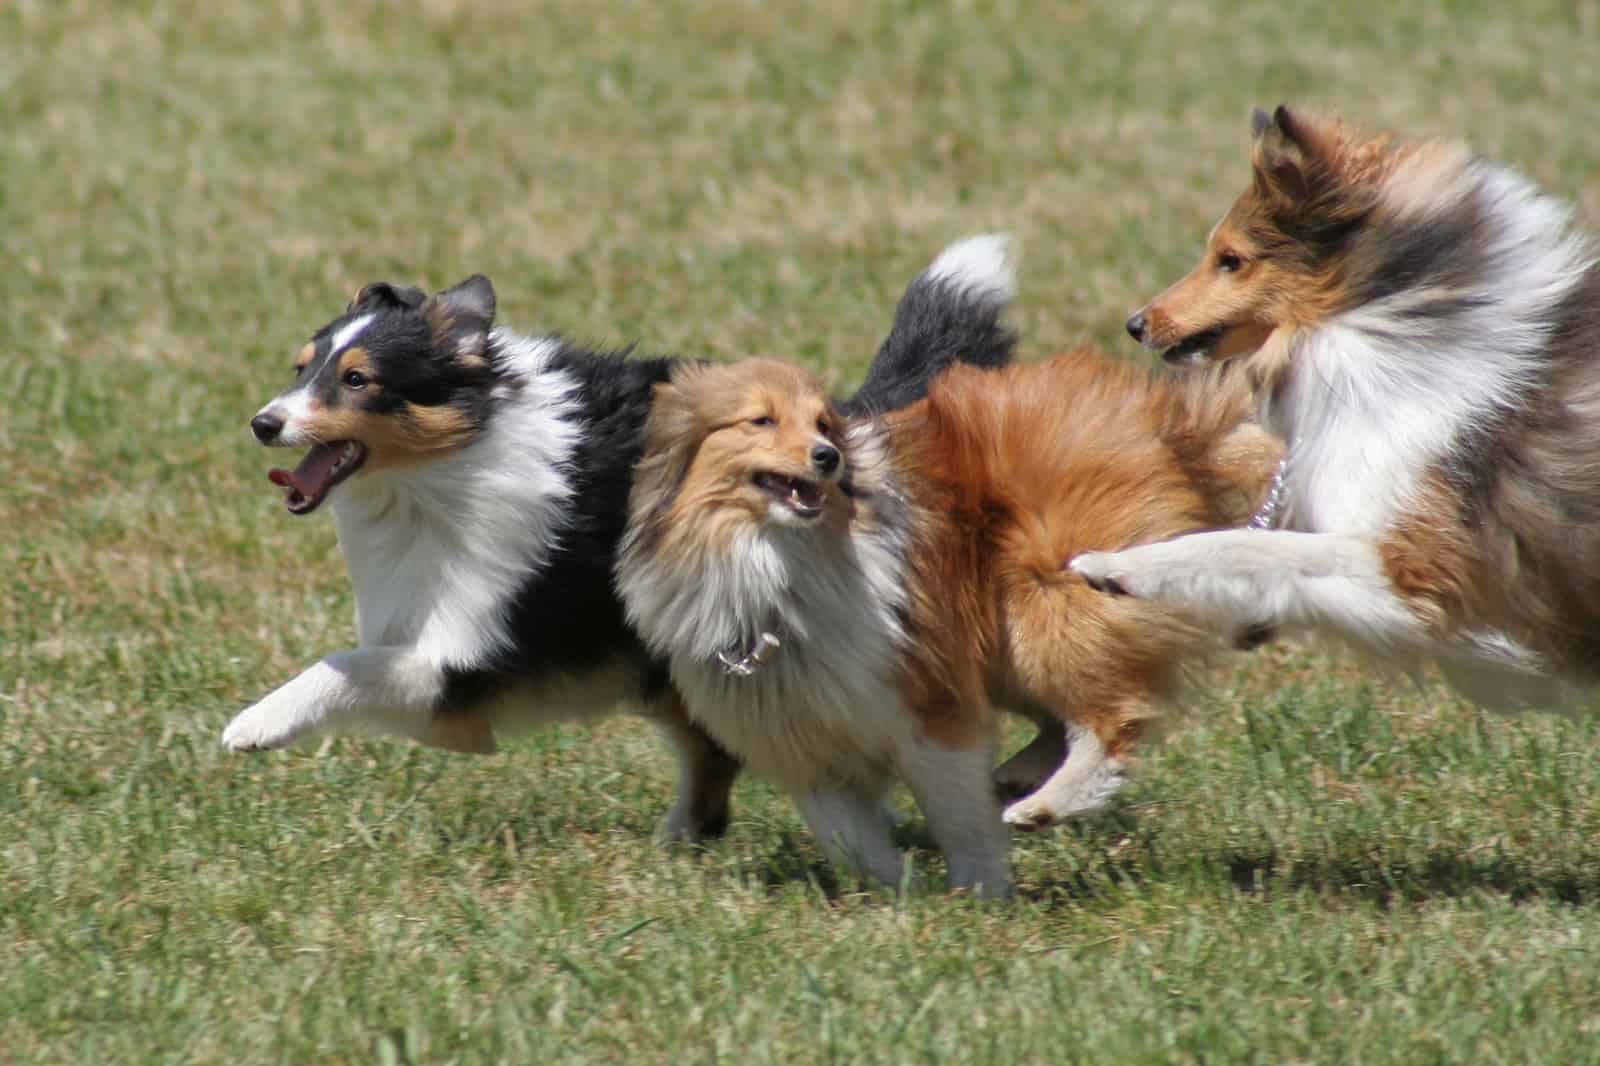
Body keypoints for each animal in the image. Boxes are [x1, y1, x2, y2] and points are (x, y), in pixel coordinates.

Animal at [216, 238, 1011, 838]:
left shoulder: (469, 654)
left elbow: (343, 664)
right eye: (301, 369)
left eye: (358, 379)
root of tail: (839, 431)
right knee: (711, 753)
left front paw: (254, 724)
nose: (262, 423)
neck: (448, 469)